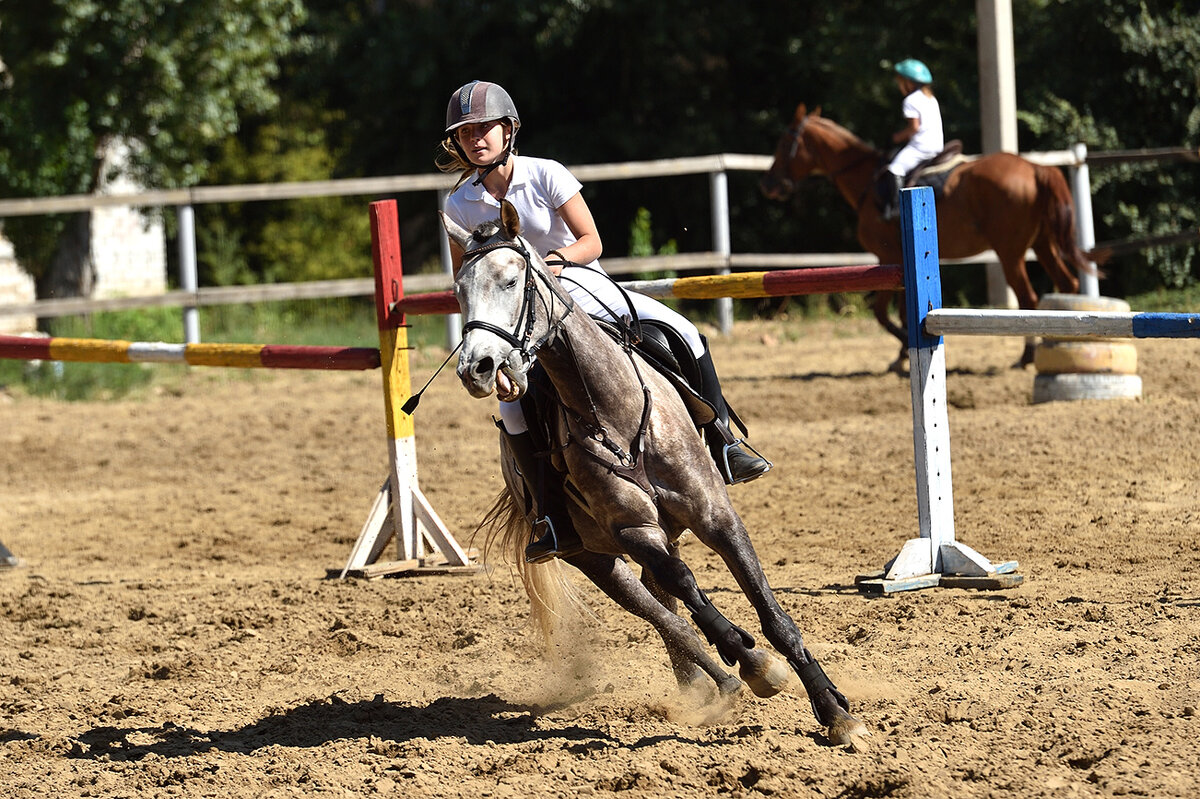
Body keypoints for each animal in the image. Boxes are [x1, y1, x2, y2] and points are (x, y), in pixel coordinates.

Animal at [446, 197, 868, 739]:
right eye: (459, 291)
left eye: (511, 281)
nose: (477, 370)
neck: (612, 407)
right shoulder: (633, 530)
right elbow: (689, 591)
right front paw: (757, 664)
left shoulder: (715, 516)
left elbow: (773, 615)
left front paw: (836, 712)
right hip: (595, 557)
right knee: (664, 613)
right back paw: (727, 680)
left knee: (666, 599)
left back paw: (716, 683)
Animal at [763, 102, 1094, 369]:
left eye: (784, 142)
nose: (769, 185)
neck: (867, 182)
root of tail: (1035, 168)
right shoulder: (897, 264)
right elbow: (898, 312)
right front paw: (902, 352)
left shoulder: (887, 257)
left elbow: (882, 313)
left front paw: (902, 352)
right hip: (1043, 244)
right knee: (1067, 284)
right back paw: (1062, 344)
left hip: (1010, 252)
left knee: (1028, 297)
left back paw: (1026, 357)